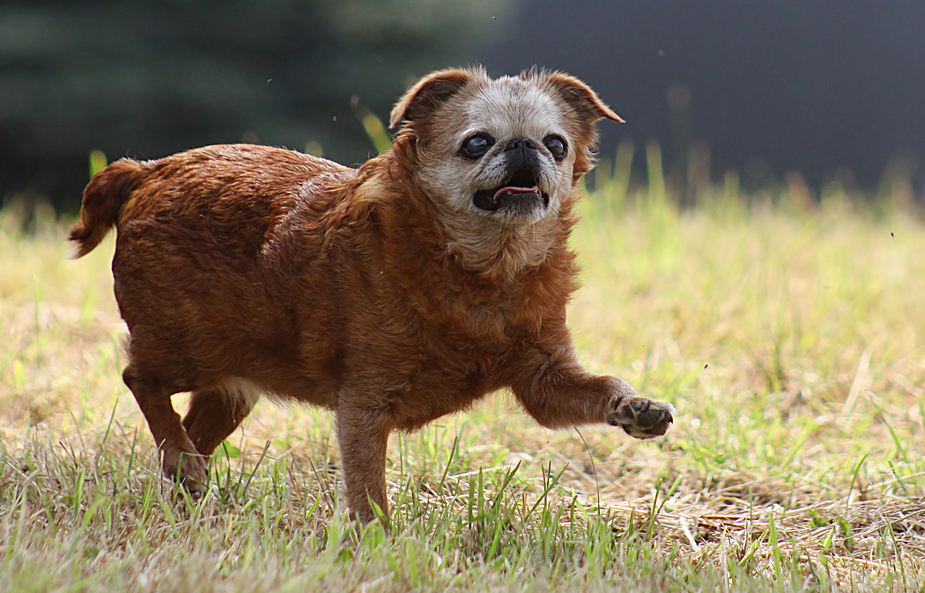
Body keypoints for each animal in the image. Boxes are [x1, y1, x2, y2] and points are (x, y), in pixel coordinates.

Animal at [68, 68, 676, 524]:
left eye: (557, 144)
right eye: (477, 143)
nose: (525, 146)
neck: (483, 270)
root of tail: (148, 171)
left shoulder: (544, 381)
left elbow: (600, 387)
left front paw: (636, 408)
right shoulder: (363, 404)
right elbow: (366, 485)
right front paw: (377, 539)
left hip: (233, 388)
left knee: (189, 437)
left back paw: (187, 482)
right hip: (188, 351)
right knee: (140, 380)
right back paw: (183, 462)